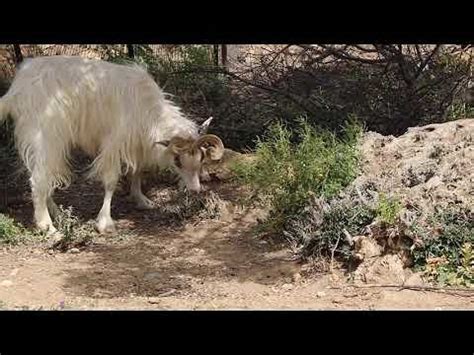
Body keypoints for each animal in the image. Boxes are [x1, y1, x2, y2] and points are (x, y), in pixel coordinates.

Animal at [0, 55, 224, 235]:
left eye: (201, 159)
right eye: (177, 161)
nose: (195, 190)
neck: (148, 109)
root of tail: (16, 90)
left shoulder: (137, 145)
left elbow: (137, 172)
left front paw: (142, 200)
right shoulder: (113, 144)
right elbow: (110, 181)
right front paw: (105, 222)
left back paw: (58, 214)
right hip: (46, 136)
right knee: (38, 178)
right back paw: (48, 227)